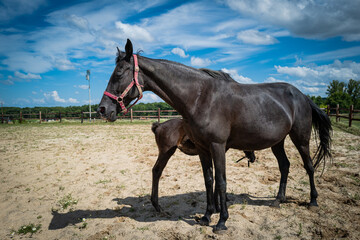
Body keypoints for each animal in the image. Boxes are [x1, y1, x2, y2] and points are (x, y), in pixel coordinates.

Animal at [97, 39, 332, 232]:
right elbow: (208, 179)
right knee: (284, 166)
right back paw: (278, 200)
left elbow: (221, 181)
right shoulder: (203, 148)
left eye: (118, 73)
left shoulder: (218, 146)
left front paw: (221, 221)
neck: (200, 97)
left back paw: (313, 201)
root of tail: (303, 96)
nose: (102, 109)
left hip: (300, 139)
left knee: (309, 166)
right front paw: (207, 216)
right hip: (277, 142)